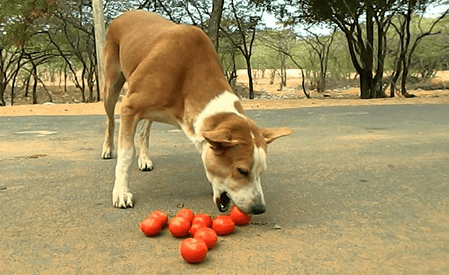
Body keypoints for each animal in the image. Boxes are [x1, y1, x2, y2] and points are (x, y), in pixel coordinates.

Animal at [100, 10, 292, 216]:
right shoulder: (129, 107)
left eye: (261, 172)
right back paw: (108, 149)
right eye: (242, 171)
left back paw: (144, 159)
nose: (259, 208)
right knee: (110, 120)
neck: (187, 72)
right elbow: (126, 155)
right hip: (112, 86)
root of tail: (126, 14)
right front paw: (121, 192)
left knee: (144, 131)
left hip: (148, 111)